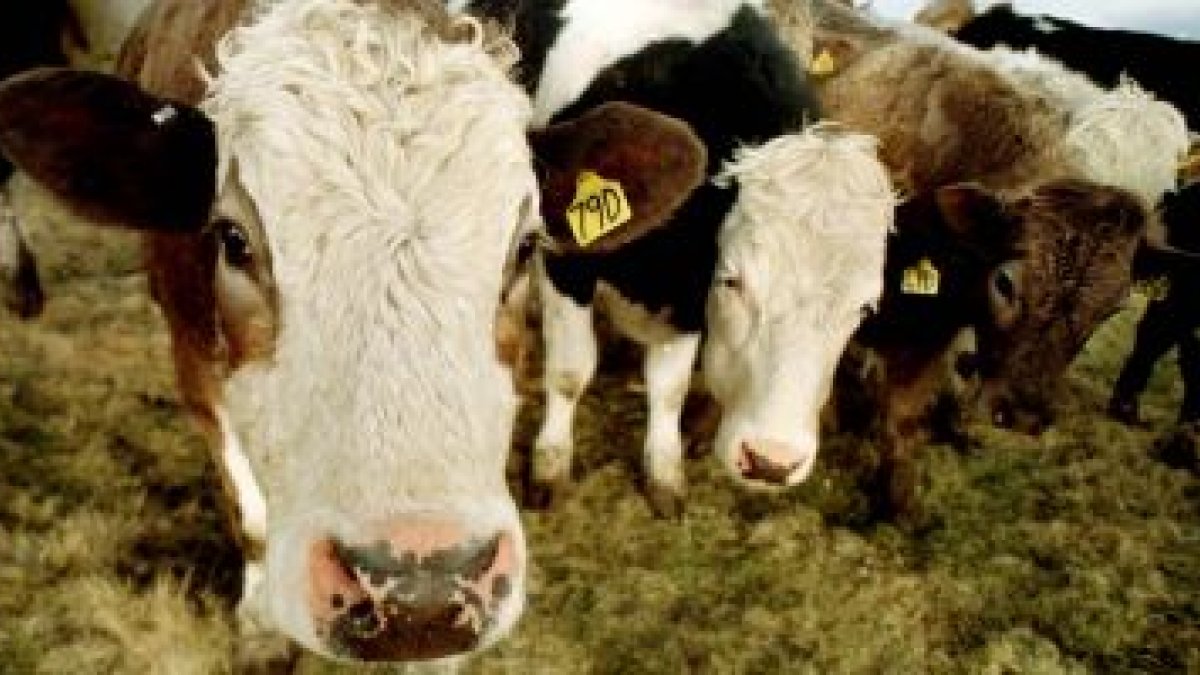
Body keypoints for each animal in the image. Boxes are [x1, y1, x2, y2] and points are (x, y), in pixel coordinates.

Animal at [0, 0, 707, 668]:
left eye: (526, 246)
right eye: (233, 239)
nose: (421, 591)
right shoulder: (197, 366)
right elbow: (249, 512)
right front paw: (261, 625)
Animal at [449, 0, 895, 517]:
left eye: (864, 308)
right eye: (735, 281)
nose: (772, 462)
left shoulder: (688, 303)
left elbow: (669, 389)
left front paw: (664, 472)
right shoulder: (568, 262)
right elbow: (569, 373)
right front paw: (550, 465)